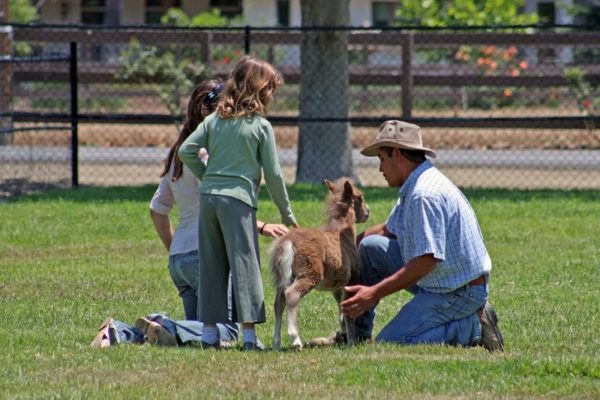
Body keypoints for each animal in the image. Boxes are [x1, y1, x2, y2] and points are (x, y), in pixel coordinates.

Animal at [268, 179, 370, 350]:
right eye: (360, 197)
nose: (368, 212)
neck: (342, 234)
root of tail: (288, 242)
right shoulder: (352, 279)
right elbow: (348, 312)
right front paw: (351, 341)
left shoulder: (338, 286)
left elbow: (341, 308)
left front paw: (342, 336)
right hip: (310, 272)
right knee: (291, 295)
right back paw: (296, 341)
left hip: (284, 276)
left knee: (278, 302)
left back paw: (276, 343)